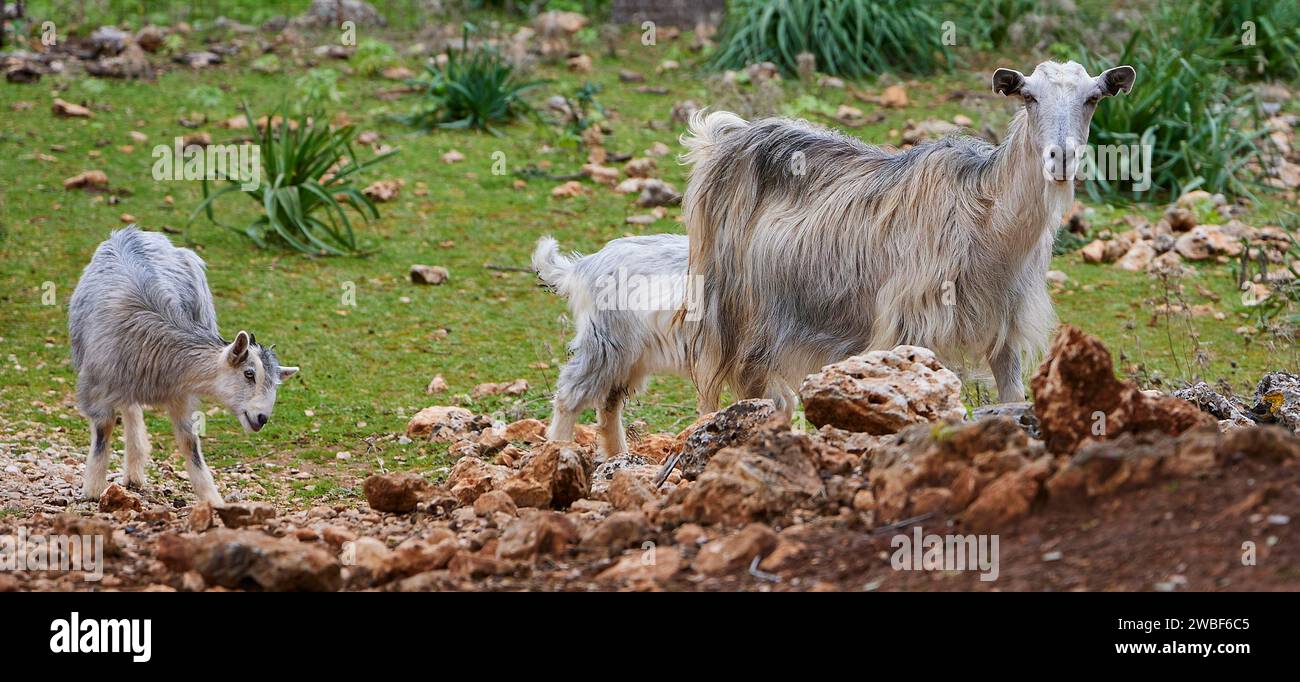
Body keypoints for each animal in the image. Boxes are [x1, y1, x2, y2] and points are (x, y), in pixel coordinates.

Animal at [69, 226, 297, 501]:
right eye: (249, 373)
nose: (262, 418)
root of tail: (132, 231)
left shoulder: (181, 392)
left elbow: (190, 444)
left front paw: (212, 499)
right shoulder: (97, 385)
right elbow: (103, 430)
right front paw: (93, 488)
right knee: (128, 407)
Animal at [681, 61, 1138, 402]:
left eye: (1093, 98)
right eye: (1029, 97)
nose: (1061, 158)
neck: (988, 224)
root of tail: (725, 136)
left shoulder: (1005, 332)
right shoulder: (910, 328)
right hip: (732, 317)